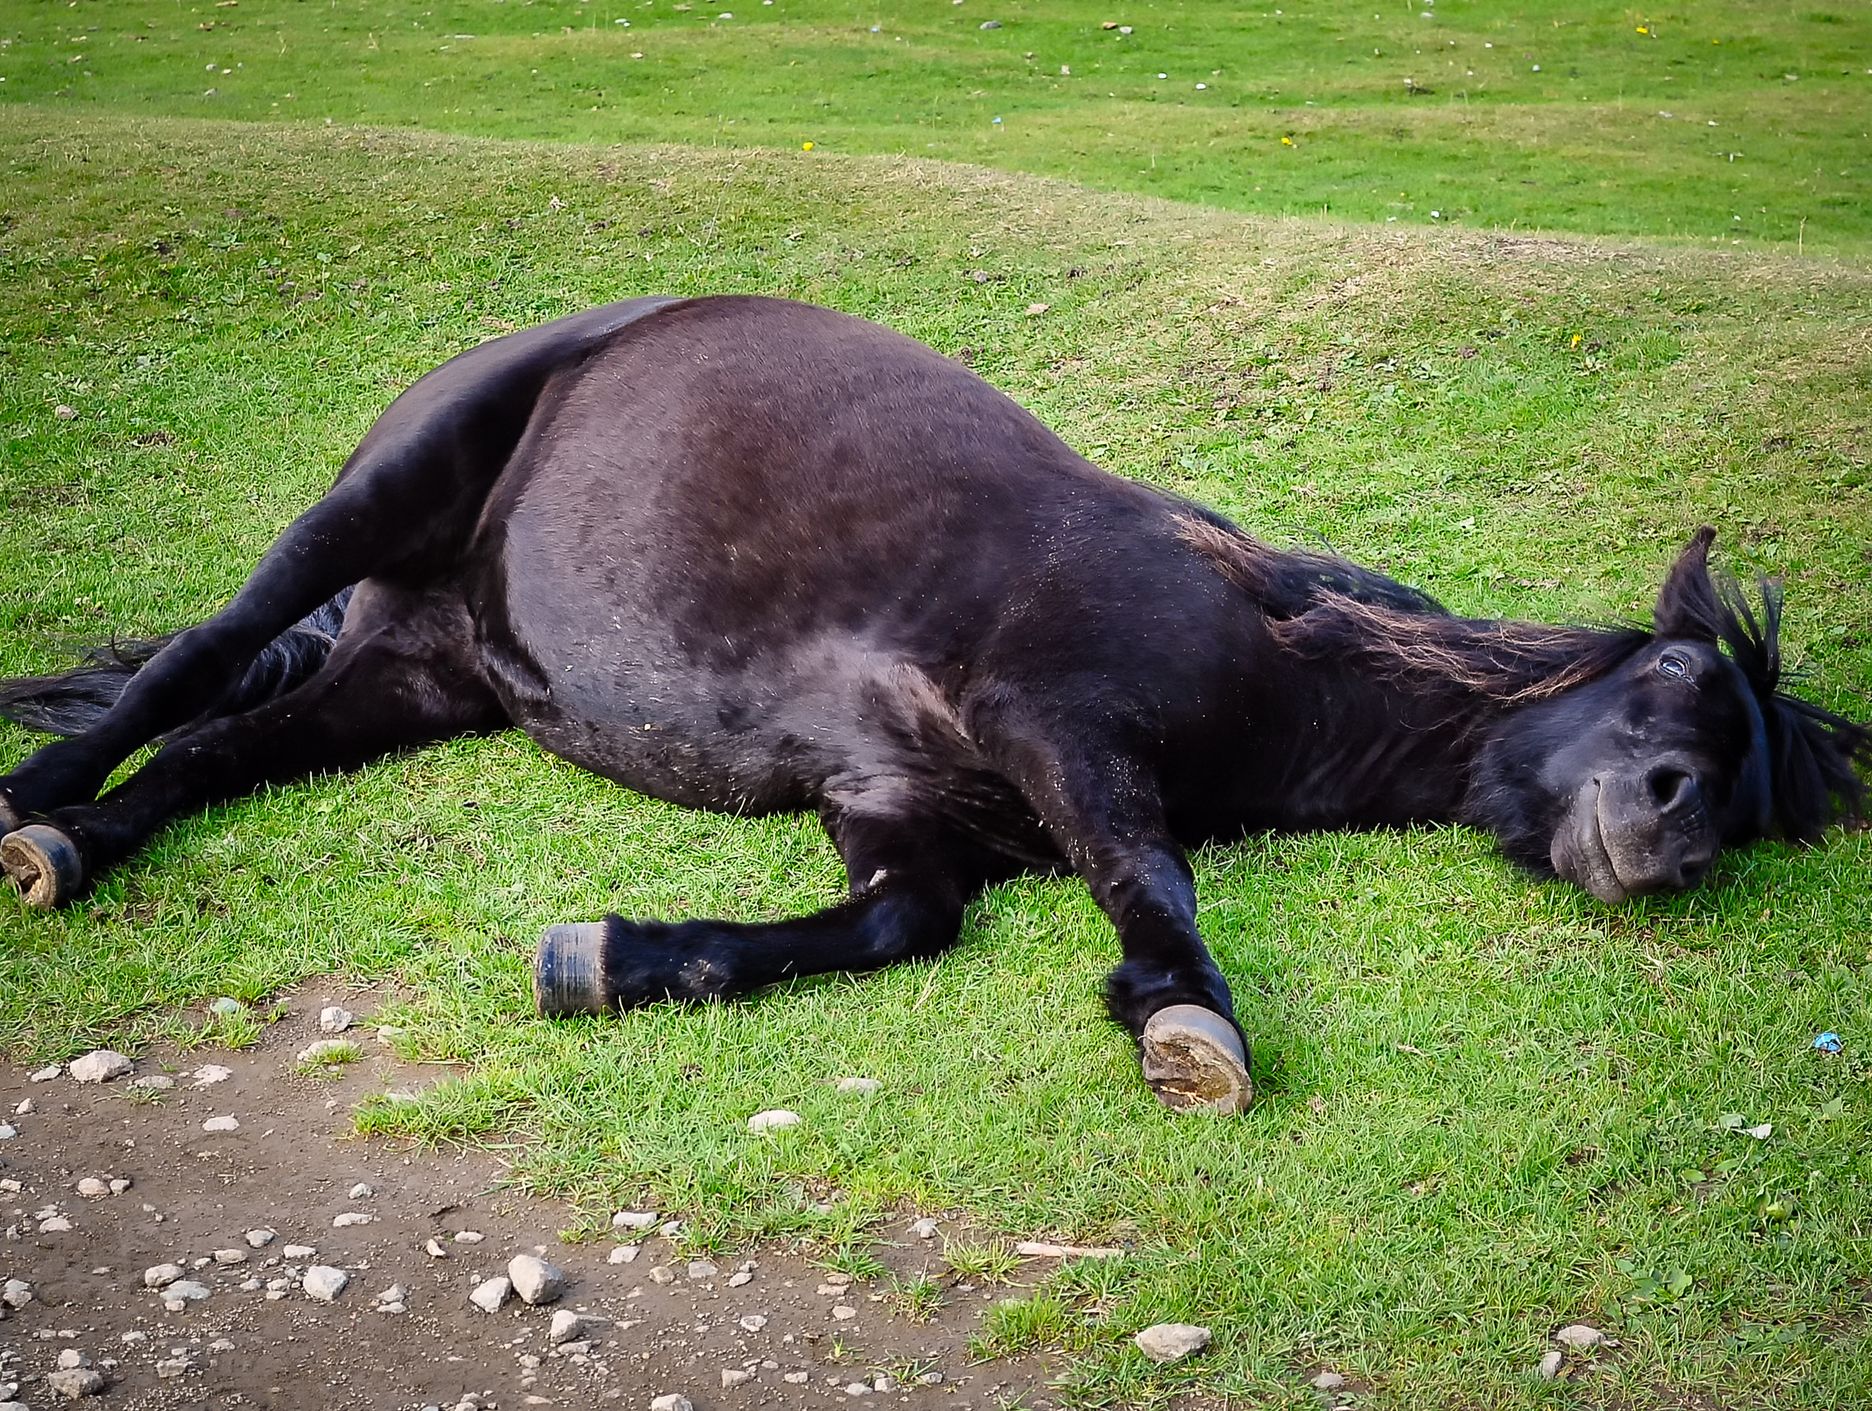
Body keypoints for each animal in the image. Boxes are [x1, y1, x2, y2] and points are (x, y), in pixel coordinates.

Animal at [2, 295, 1865, 1114]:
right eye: (1675, 679)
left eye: (1750, 789)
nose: (1674, 839)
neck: (1267, 654)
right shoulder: (1056, 723)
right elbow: (1152, 879)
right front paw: (1188, 1020)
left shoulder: (898, 802)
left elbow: (905, 923)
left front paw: (607, 957)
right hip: (373, 504)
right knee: (191, 664)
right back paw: (33, 806)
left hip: (421, 674)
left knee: (218, 746)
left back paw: (76, 846)